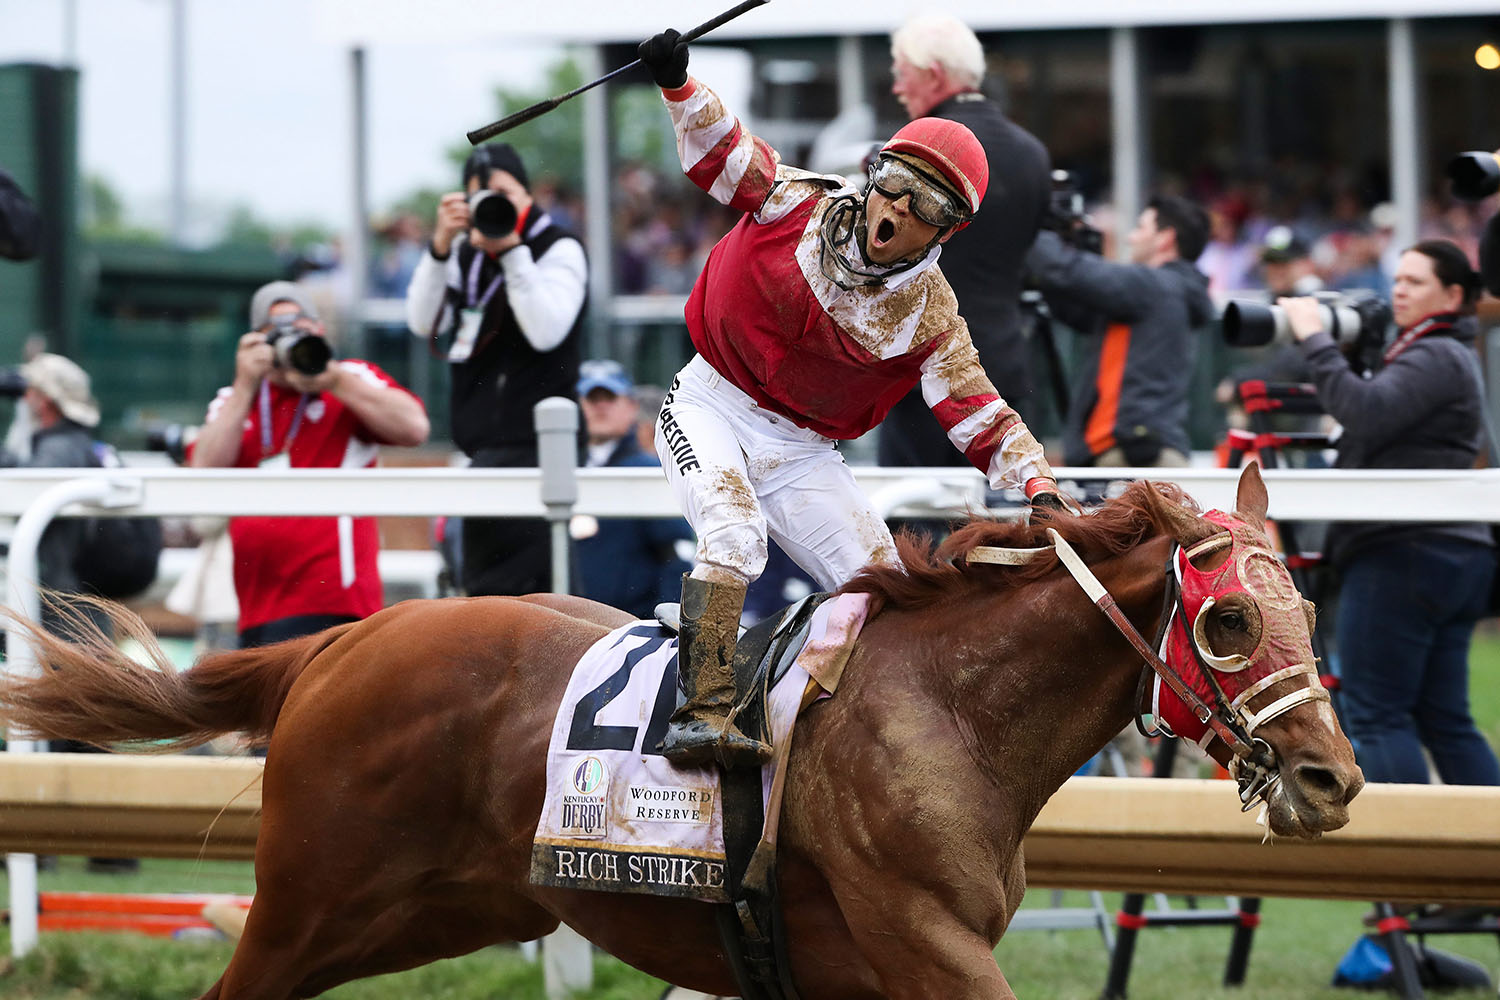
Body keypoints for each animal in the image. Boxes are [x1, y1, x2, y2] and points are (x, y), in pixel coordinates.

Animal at [0, 470, 1362, 1000]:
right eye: (1231, 620)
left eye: (1309, 605)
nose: (1335, 777)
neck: (953, 712)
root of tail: (343, 641)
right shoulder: (926, 942)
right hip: (308, 900)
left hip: (430, 911)